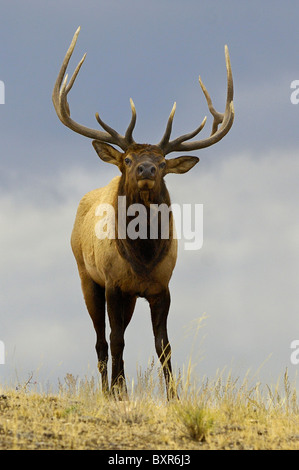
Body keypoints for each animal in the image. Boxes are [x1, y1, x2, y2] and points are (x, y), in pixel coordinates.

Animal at [52, 27, 234, 398]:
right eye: (127, 159)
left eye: (163, 163)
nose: (147, 169)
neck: (143, 257)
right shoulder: (112, 283)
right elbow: (116, 340)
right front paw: (120, 392)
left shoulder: (161, 286)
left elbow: (164, 345)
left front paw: (173, 397)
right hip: (85, 275)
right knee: (101, 340)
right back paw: (107, 390)